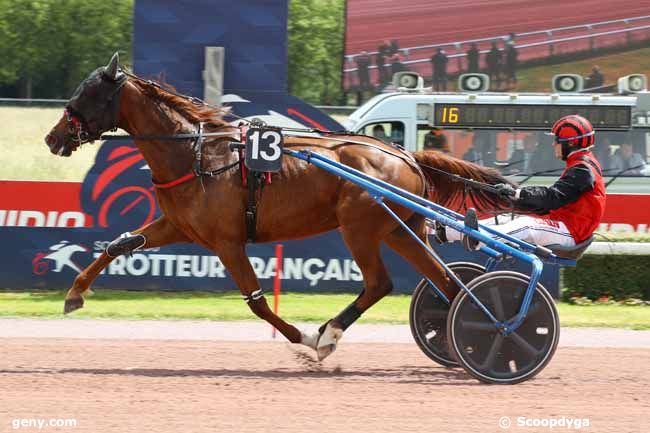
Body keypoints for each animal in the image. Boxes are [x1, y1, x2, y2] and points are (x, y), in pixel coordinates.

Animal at [44, 52, 512, 360]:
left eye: (87, 92)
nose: (53, 137)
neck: (198, 155)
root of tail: (404, 154)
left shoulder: (227, 242)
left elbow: (256, 301)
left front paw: (304, 339)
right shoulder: (178, 226)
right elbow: (118, 245)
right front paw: (74, 294)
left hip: (359, 228)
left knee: (379, 283)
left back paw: (329, 336)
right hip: (400, 228)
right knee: (447, 282)